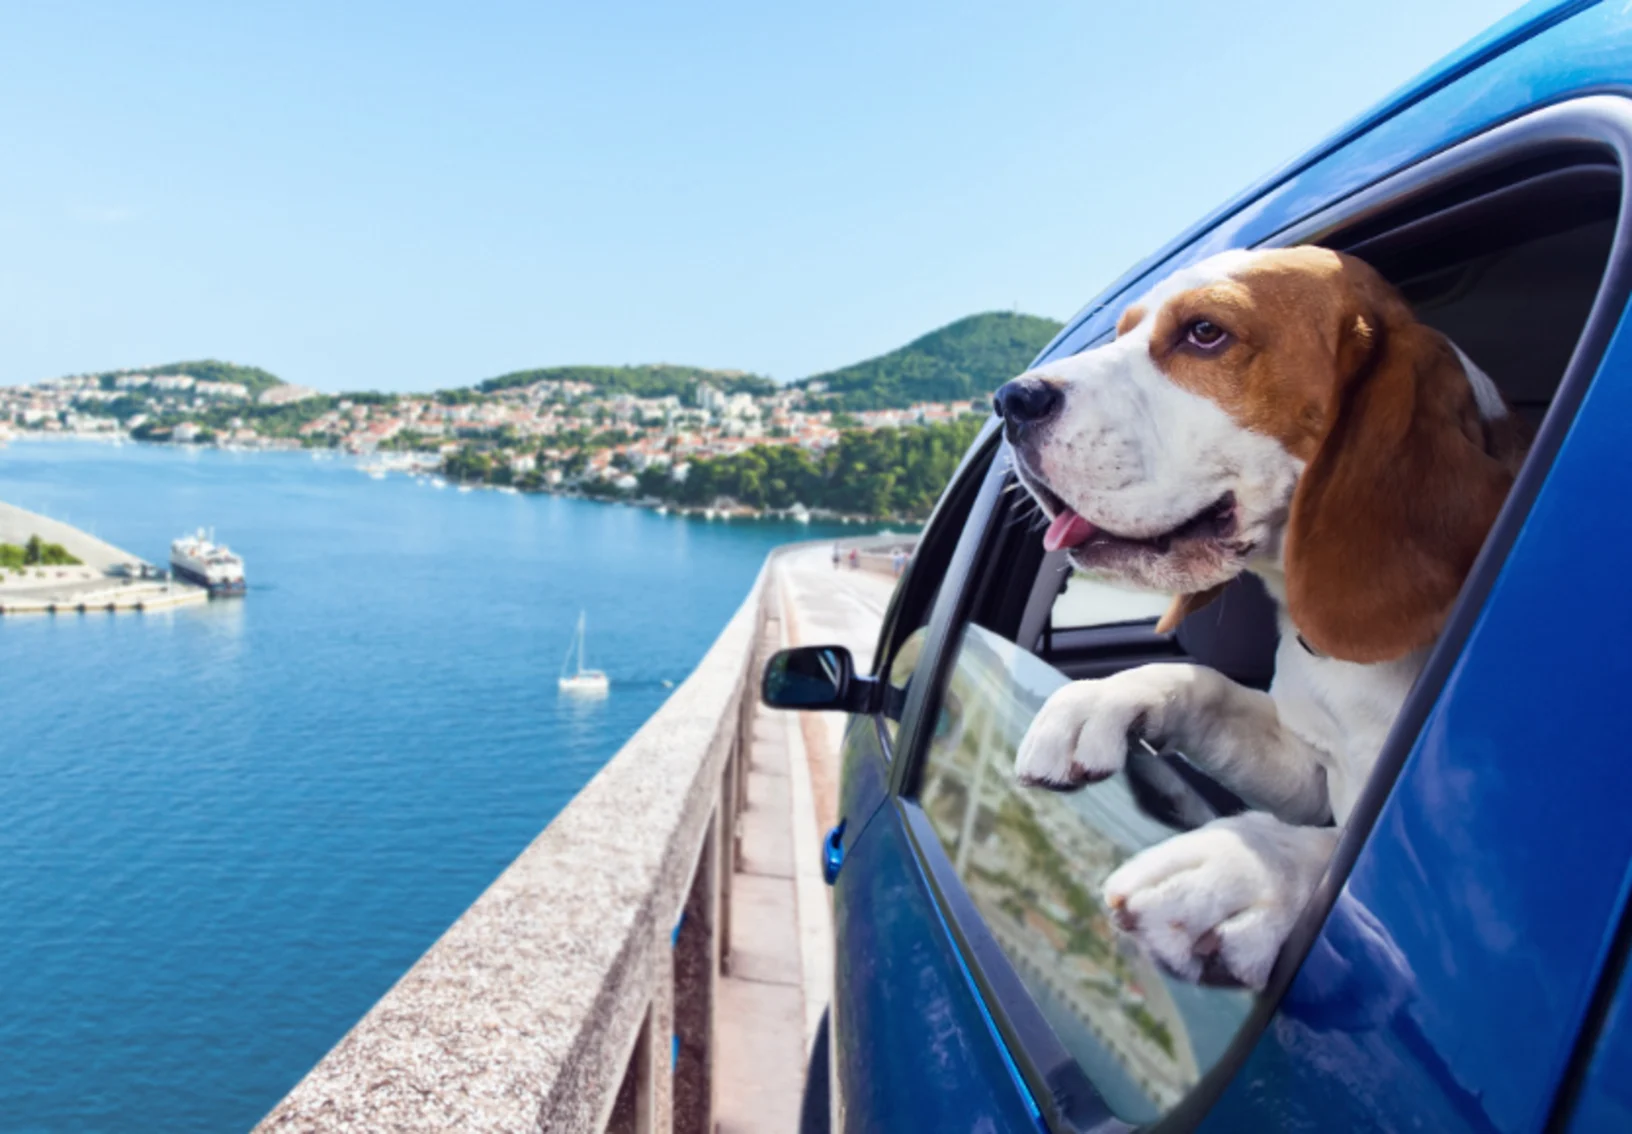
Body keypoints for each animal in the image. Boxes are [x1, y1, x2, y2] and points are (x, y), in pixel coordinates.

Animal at [998, 244, 1521, 992]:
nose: (1011, 400)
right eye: (1124, 330)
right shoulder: (1307, 771)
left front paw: (1246, 867)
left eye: (1205, 333)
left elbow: (1334, 855)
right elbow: (1205, 685)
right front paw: (1099, 699)